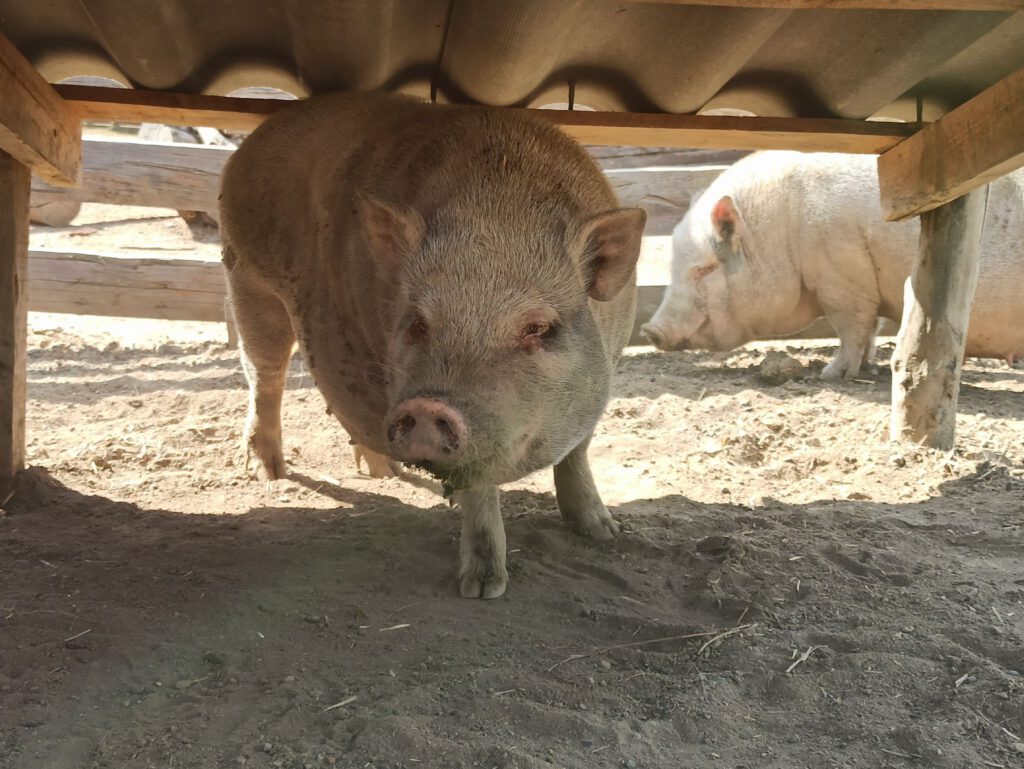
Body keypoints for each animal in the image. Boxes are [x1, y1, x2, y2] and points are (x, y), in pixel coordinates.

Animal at [220, 92, 645, 599]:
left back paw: (380, 472)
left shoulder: (611, 361)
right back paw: (267, 473)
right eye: (419, 323)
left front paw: (606, 533)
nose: (426, 407)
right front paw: (483, 590)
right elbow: (479, 488)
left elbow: (578, 451)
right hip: (247, 277)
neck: (498, 213)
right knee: (264, 376)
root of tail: (255, 139)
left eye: (538, 328)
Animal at [641, 151, 1024, 378]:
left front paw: (831, 374)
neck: (780, 231)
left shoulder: (841, 278)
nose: (649, 330)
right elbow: (871, 329)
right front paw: (863, 367)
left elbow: (851, 327)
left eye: (705, 269)